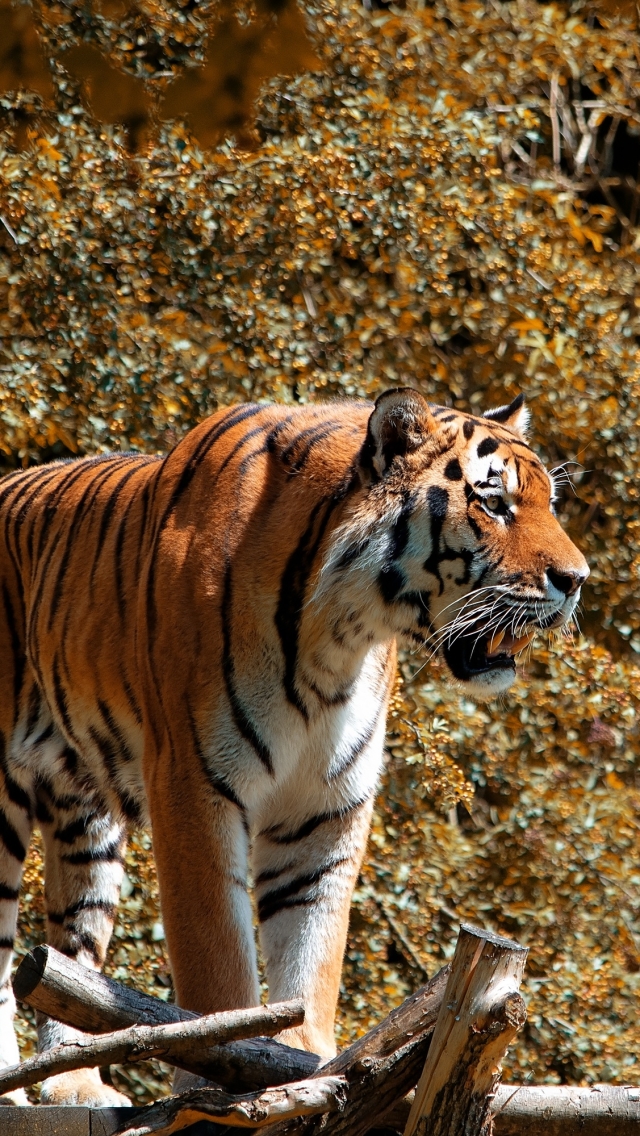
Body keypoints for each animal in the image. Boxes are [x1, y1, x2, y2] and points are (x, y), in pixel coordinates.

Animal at [0, 388, 586, 1099]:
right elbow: (218, 961)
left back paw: (75, 1085)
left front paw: (306, 1064)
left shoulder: (325, 806)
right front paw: (221, 1071)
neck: (337, 637)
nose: (577, 579)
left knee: (68, 956)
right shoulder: (194, 784)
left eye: (549, 503)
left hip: (86, 816)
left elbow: (312, 950)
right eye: (494, 502)